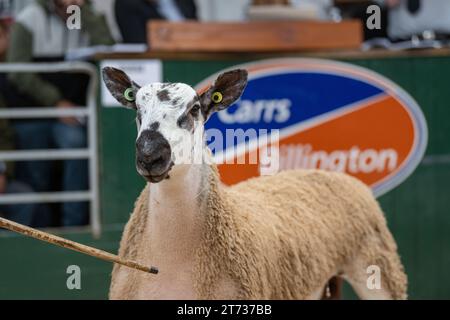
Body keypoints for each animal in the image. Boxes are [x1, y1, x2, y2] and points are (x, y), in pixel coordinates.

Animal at [102, 67, 408, 300]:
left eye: (194, 109)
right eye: (138, 109)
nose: (150, 155)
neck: (173, 259)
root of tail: (332, 175)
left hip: (379, 269)